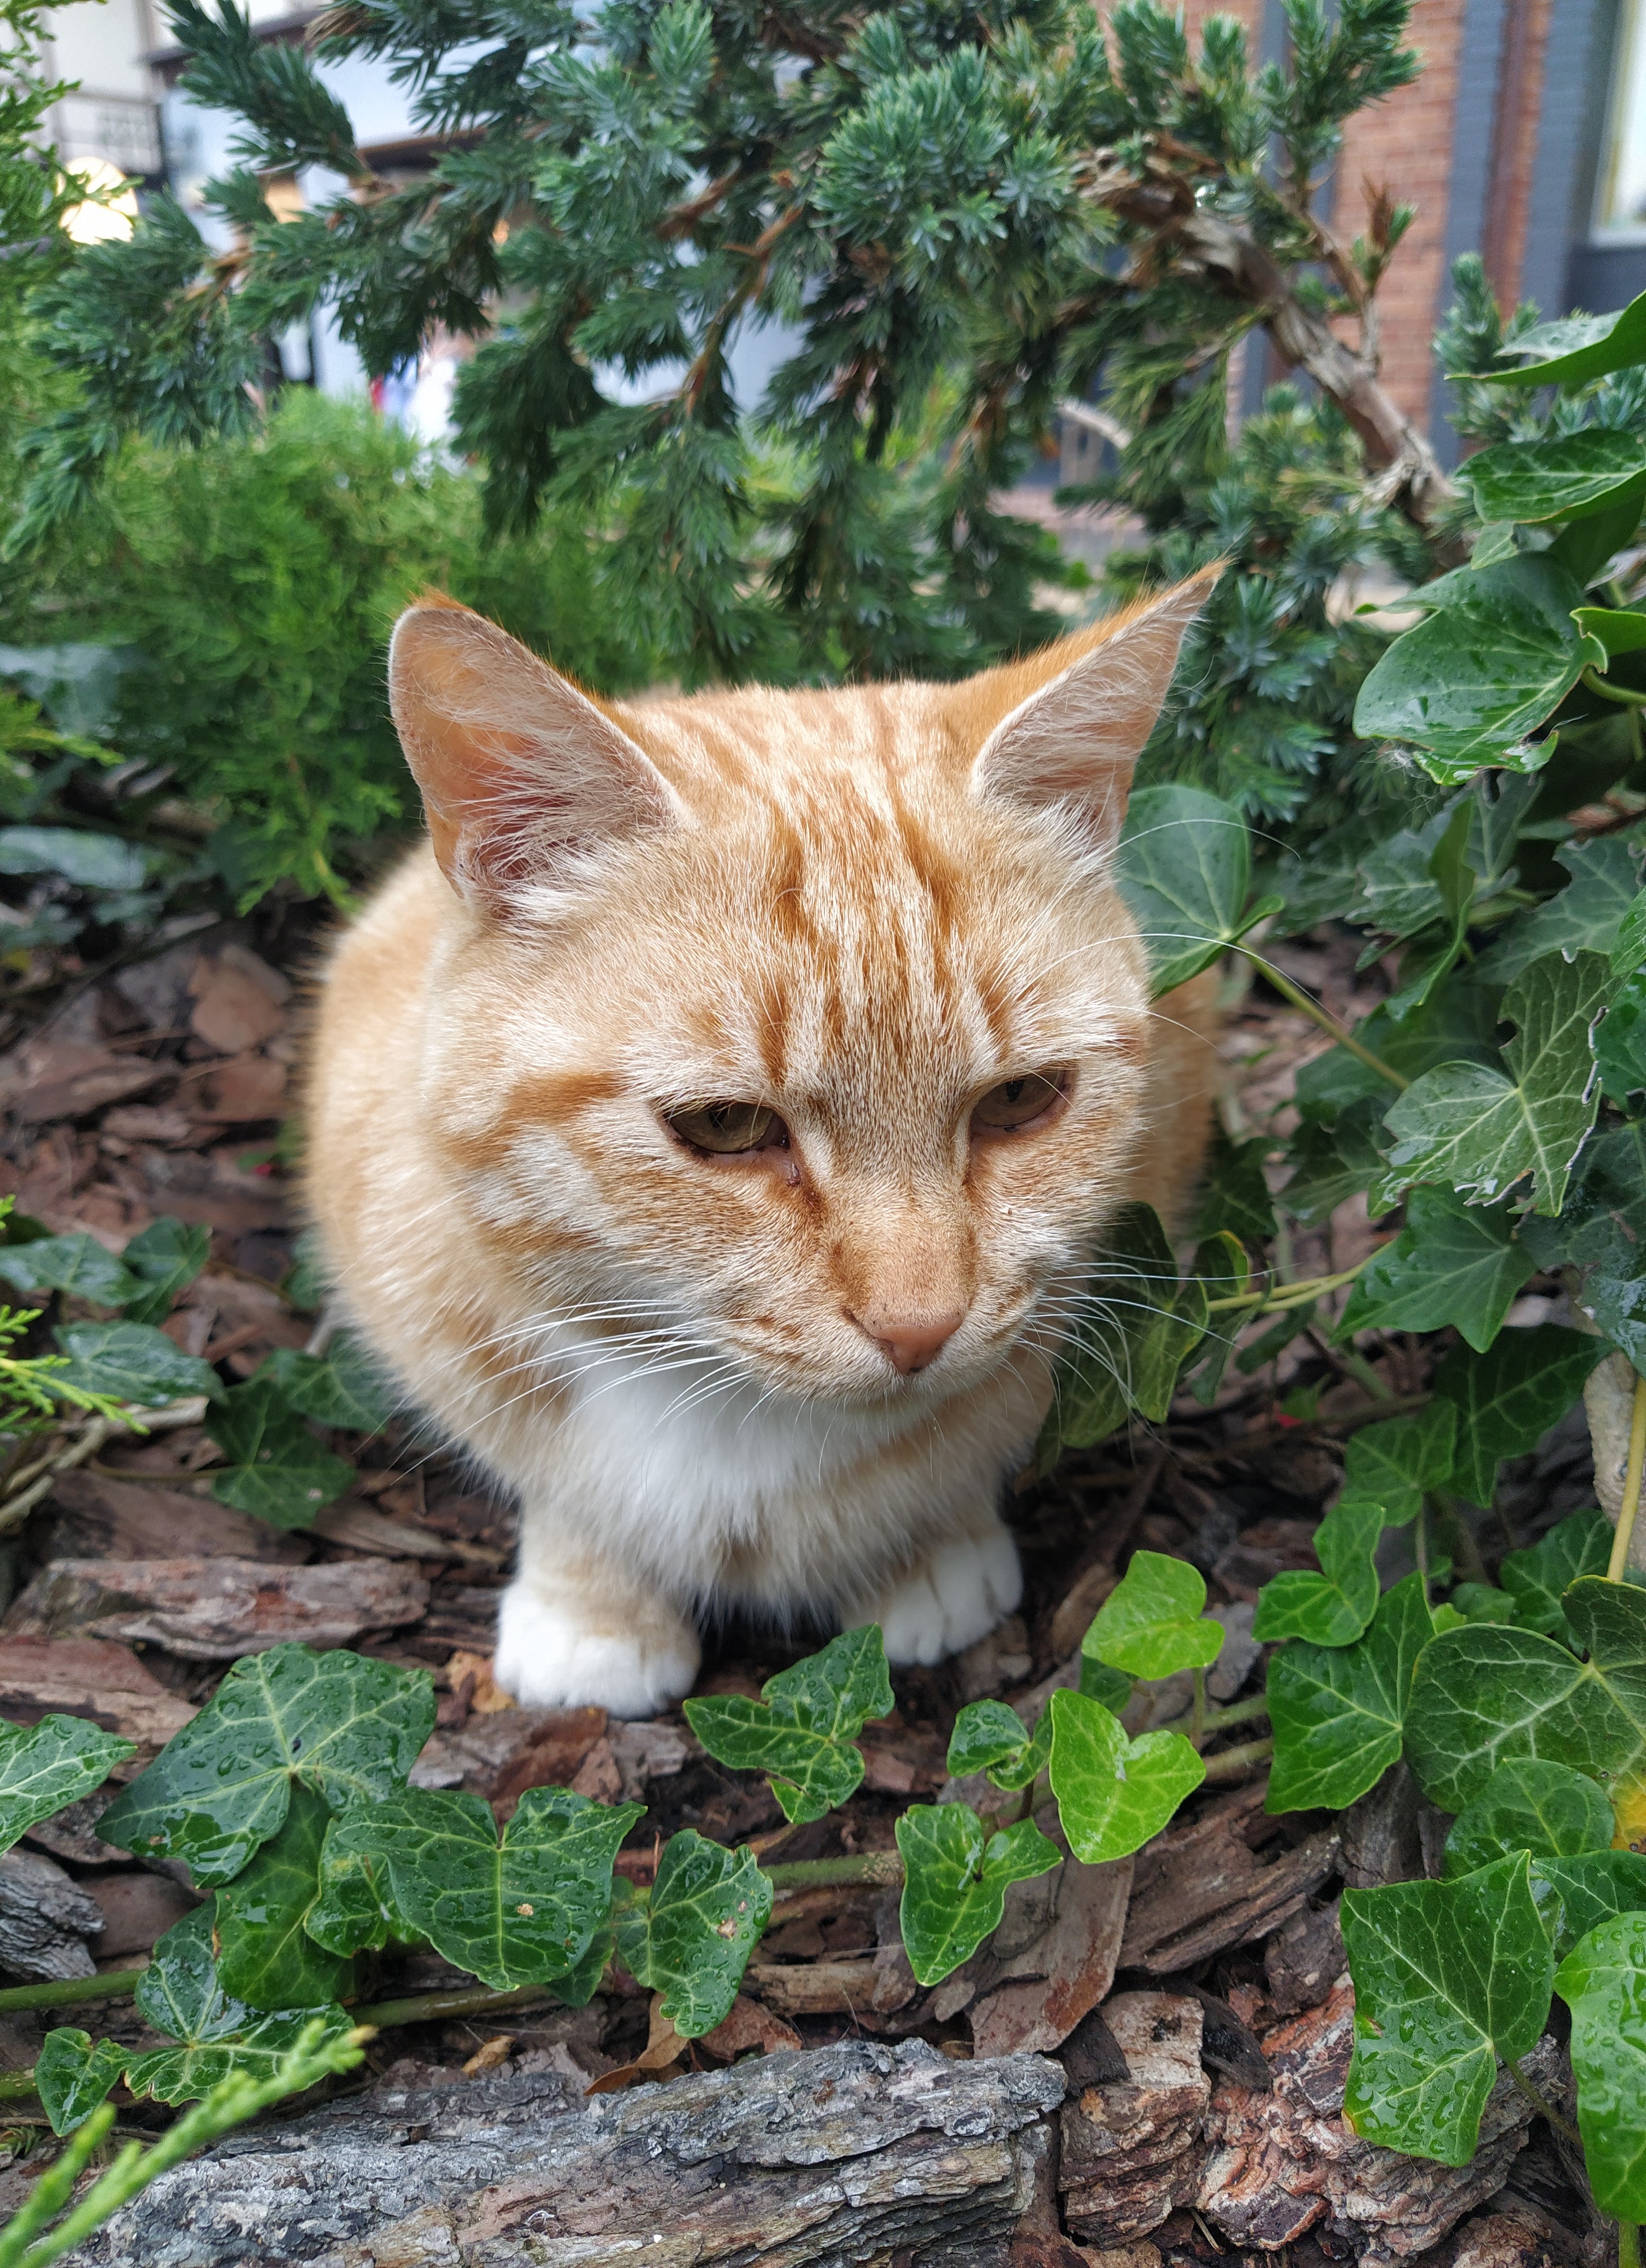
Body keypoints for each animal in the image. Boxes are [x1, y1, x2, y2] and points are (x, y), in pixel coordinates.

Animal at [305, 570, 1222, 1717]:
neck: (737, 1424)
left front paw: (923, 1556)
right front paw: (589, 1607)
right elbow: (565, 1499)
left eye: (1019, 1101)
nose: (919, 1329)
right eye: (726, 1127)